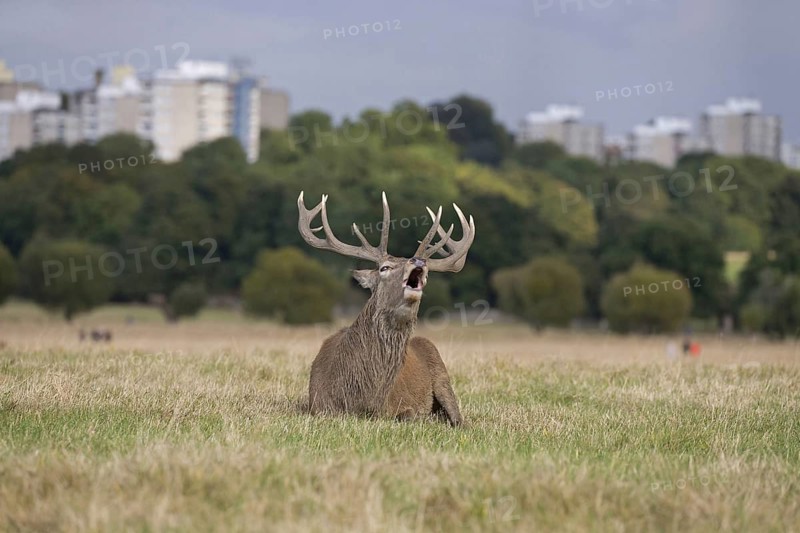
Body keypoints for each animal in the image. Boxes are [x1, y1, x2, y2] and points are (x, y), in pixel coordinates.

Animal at [297, 192, 476, 426]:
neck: (361, 401)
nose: (419, 261)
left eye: (427, 273)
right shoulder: (318, 406)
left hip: (443, 375)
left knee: (459, 419)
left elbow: (409, 414)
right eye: (384, 268)